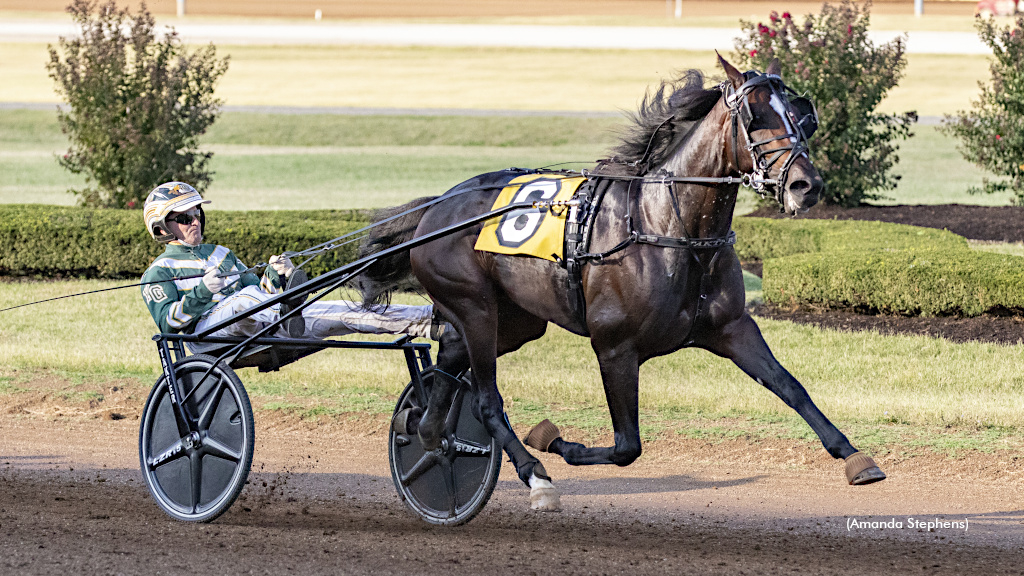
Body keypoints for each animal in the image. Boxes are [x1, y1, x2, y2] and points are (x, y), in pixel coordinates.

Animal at [356, 54, 884, 510]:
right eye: (755, 117)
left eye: (801, 115)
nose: (805, 185)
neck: (668, 229)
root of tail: (435, 207)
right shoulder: (615, 348)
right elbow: (627, 446)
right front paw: (555, 441)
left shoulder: (733, 328)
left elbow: (790, 386)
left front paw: (855, 457)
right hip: (476, 309)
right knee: (486, 401)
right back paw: (534, 476)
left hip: (516, 321)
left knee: (446, 369)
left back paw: (423, 427)